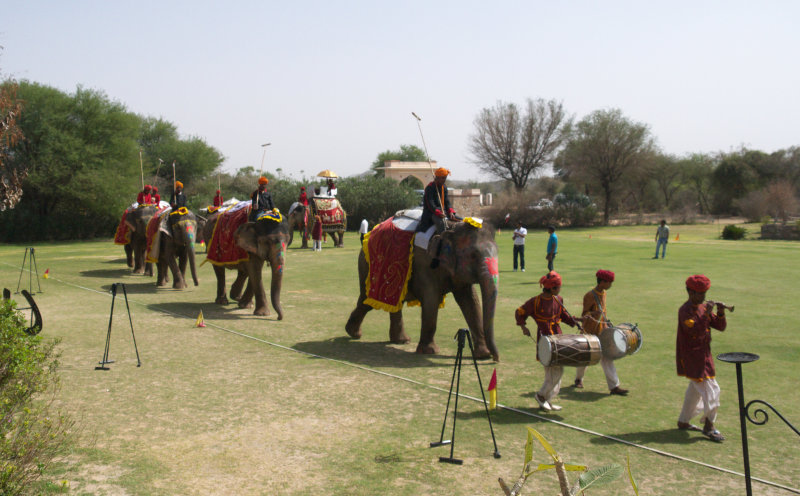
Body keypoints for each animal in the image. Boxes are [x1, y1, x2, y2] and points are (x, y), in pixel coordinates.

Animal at [346, 213, 496, 360]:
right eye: (473, 255)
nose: (496, 358)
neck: (452, 227)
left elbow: (471, 302)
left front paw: (483, 354)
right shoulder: (425, 265)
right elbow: (431, 300)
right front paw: (429, 351)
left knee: (392, 303)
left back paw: (400, 340)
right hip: (368, 266)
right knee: (367, 301)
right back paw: (354, 333)